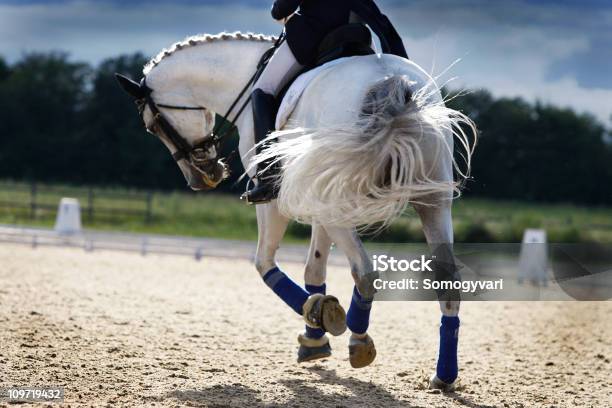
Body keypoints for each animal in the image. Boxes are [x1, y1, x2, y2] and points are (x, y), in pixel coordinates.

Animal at [116, 31, 478, 388]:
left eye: (153, 126)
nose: (201, 179)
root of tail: (390, 82)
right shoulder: (318, 204)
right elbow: (313, 271)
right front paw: (316, 334)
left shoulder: (274, 201)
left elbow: (264, 264)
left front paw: (318, 316)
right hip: (431, 201)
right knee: (447, 281)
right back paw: (444, 376)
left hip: (336, 199)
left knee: (364, 272)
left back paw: (359, 340)